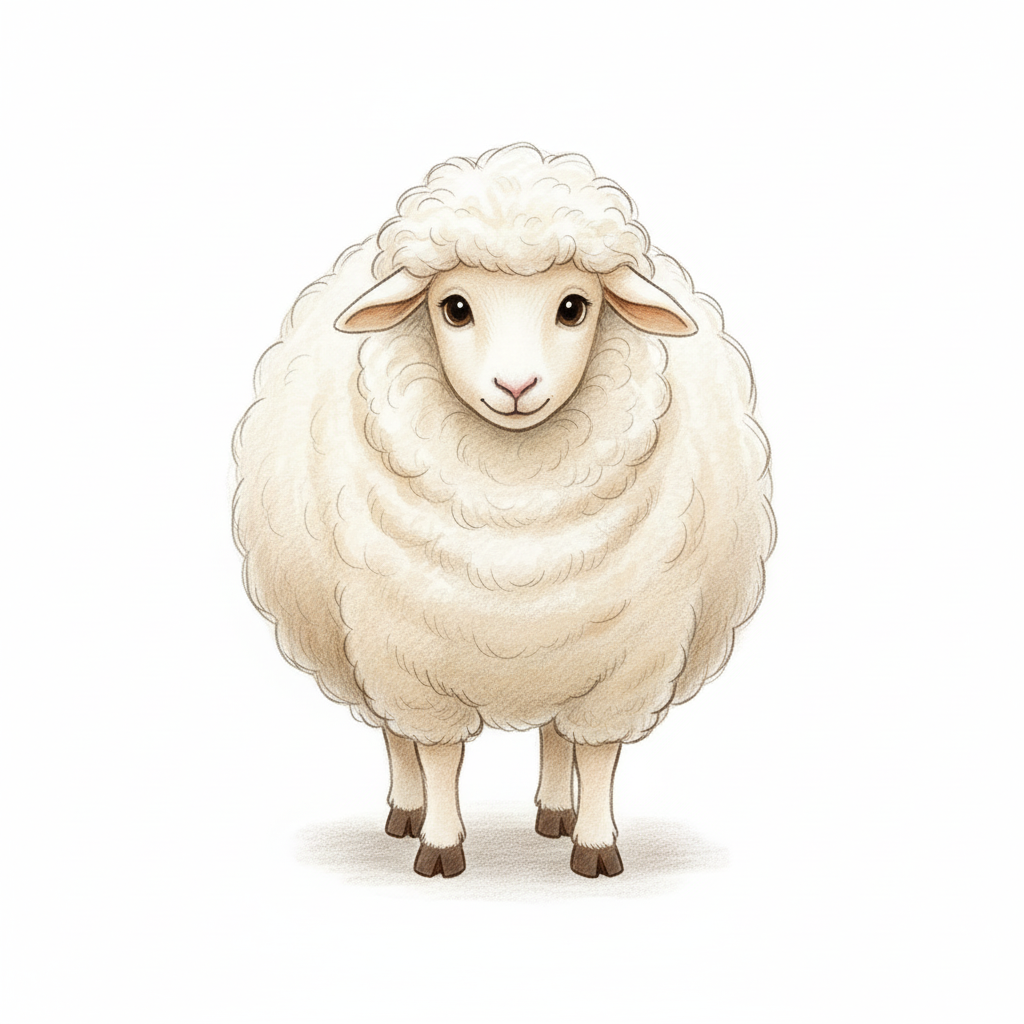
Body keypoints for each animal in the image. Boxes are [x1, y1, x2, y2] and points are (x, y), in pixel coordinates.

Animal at [232, 142, 775, 879]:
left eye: (574, 306)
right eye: (455, 307)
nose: (516, 386)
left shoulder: (626, 663)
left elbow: (597, 755)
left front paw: (596, 845)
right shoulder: (406, 657)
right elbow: (438, 754)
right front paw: (439, 845)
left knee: (553, 734)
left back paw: (555, 812)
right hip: (358, 650)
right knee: (394, 737)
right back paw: (405, 812)